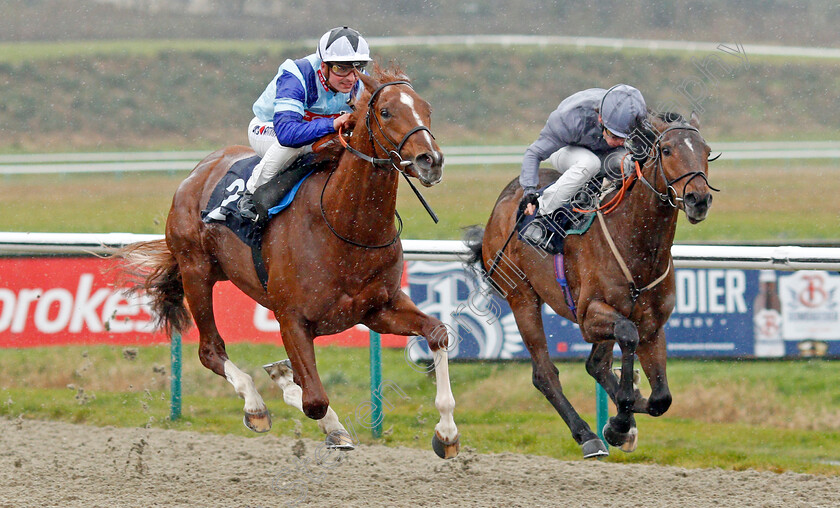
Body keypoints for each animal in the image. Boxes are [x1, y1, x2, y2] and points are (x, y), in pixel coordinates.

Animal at [118, 64, 460, 460]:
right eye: (386, 111)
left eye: (427, 109)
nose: (430, 161)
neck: (345, 225)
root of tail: (199, 170)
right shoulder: (292, 318)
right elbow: (313, 399)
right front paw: (305, 405)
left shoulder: (378, 308)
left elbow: (437, 333)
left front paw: (447, 432)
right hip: (196, 271)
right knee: (210, 350)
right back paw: (255, 406)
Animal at [466, 113, 716, 458]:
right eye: (666, 150)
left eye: (706, 151)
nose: (698, 199)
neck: (636, 242)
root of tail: (506, 198)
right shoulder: (589, 315)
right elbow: (627, 335)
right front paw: (619, 421)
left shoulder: (652, 325)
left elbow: (660, 398)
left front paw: (624, 419)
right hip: (522, 298)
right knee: (545, 374)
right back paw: (587, 435)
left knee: (596, 364)